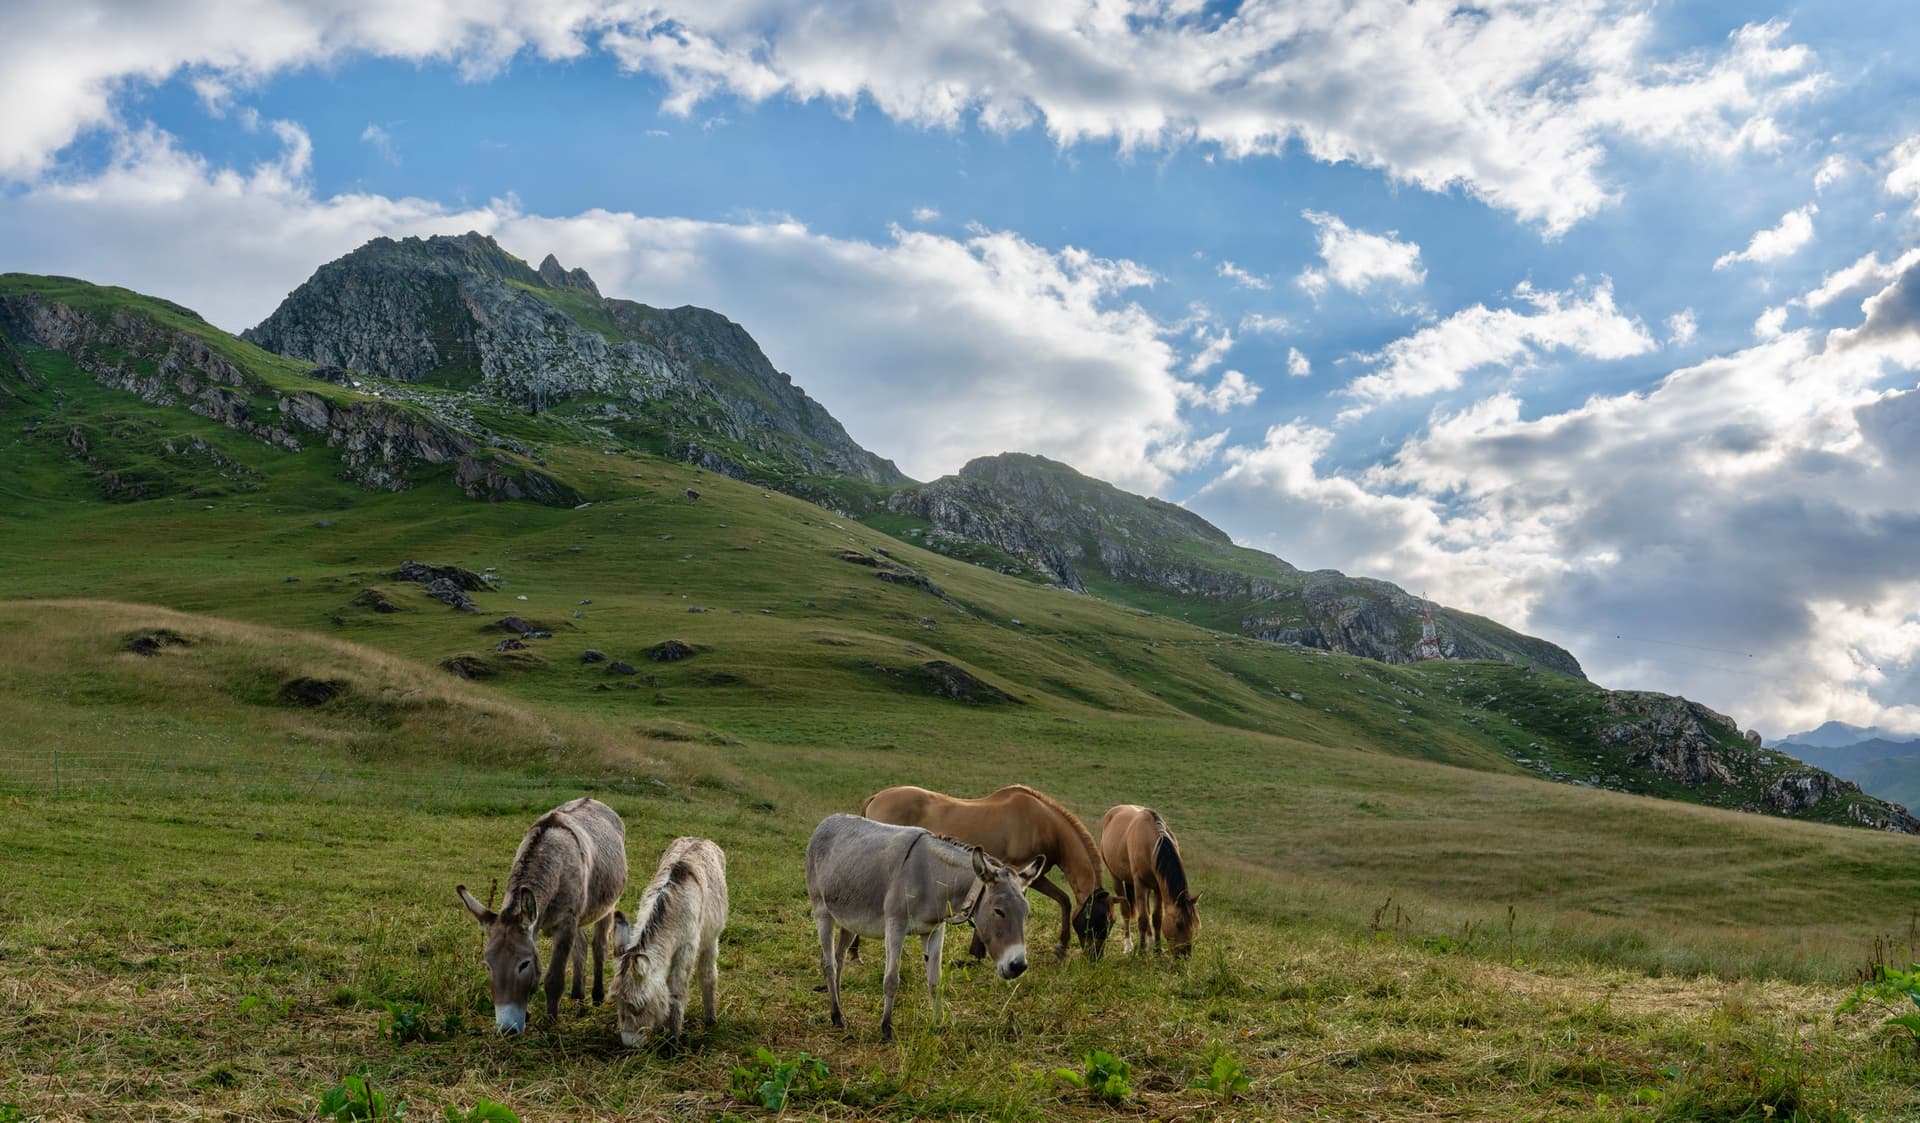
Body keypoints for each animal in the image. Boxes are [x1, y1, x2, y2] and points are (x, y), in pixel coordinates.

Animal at [456, 796, 628, 1032]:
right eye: (487, 966)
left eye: (524, 964)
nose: (507, 1029)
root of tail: (591, 799)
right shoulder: (538, 925)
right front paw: (528, 1013)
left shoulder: (565, 924)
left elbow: (554, 978)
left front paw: (551, 1022)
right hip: (579, 915)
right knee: (581, 945)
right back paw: (578, 996)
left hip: (607, 906)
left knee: (599, 945)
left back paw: (596, 996)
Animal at [610, 836, 728, 1049]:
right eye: (617, 1003)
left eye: (640, 1006)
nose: (630, 1045)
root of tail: (699, 837)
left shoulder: (686, 947)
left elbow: (676, 992)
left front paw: (673, 1042)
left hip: (712, 936)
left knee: (708, 974)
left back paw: (710, 1019)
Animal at [805, 813, 1043, 1041]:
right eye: (999, 911)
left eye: (1026, 913)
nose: (1018, 966)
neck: (932, 877)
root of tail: (827, 821)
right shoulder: (895, 926)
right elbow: (891, 979)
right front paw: (886, 1029)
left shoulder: (934, 930)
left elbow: (935, 981)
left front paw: (939, 1025)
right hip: (822, 910)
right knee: (829, 963)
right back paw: (837, 1016)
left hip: (849, 919)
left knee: (839, 959)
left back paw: (837, 1009)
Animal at [859, 784, 1112, 960]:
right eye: (1095, 921)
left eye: (1110, 922)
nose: (1095, 957)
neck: (1045, 824)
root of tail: (876, 797)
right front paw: (978, 951)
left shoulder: (1035, 876)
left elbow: (1064, 900)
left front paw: (1061, 947)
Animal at [1099, 804, 1201, 957]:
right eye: (1179, 924)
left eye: (1193, 924)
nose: (1185, 955)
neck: (1151, 844)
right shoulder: (1140, 884)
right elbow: (1143, 919)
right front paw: (1141, 951)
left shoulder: (1158, 886)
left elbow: (1157, 918)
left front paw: (1157, 950)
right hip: (1116, 878)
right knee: (1126, 911)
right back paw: (1128, 945)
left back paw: (1150, 941)